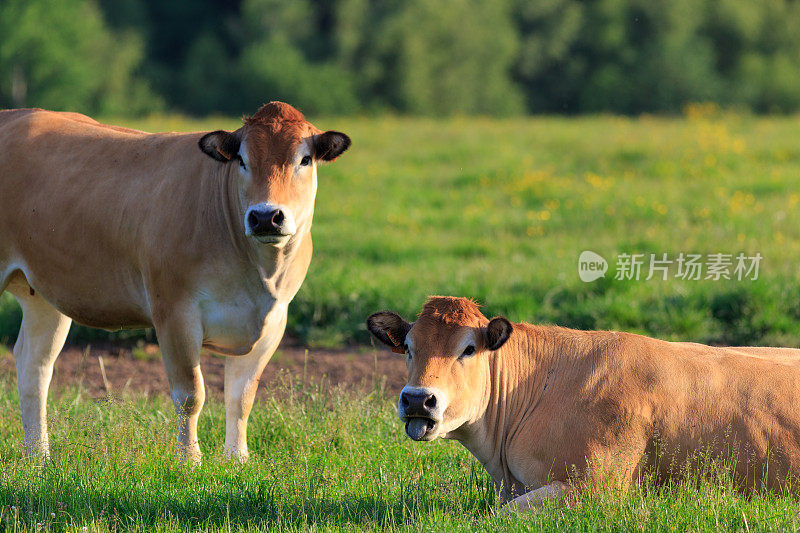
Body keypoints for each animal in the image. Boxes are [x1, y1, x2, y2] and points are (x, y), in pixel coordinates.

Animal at [0, 102, 350, 460]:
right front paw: (190, 460)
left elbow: (241, 398)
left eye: (304, 159)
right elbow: (190, 396)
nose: (266, 216)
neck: (258, 271)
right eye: (242, 160)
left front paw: (238, 459)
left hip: (43, 294)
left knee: (34, 364)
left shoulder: (273, 321)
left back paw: (39, 456)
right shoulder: (174, 312)